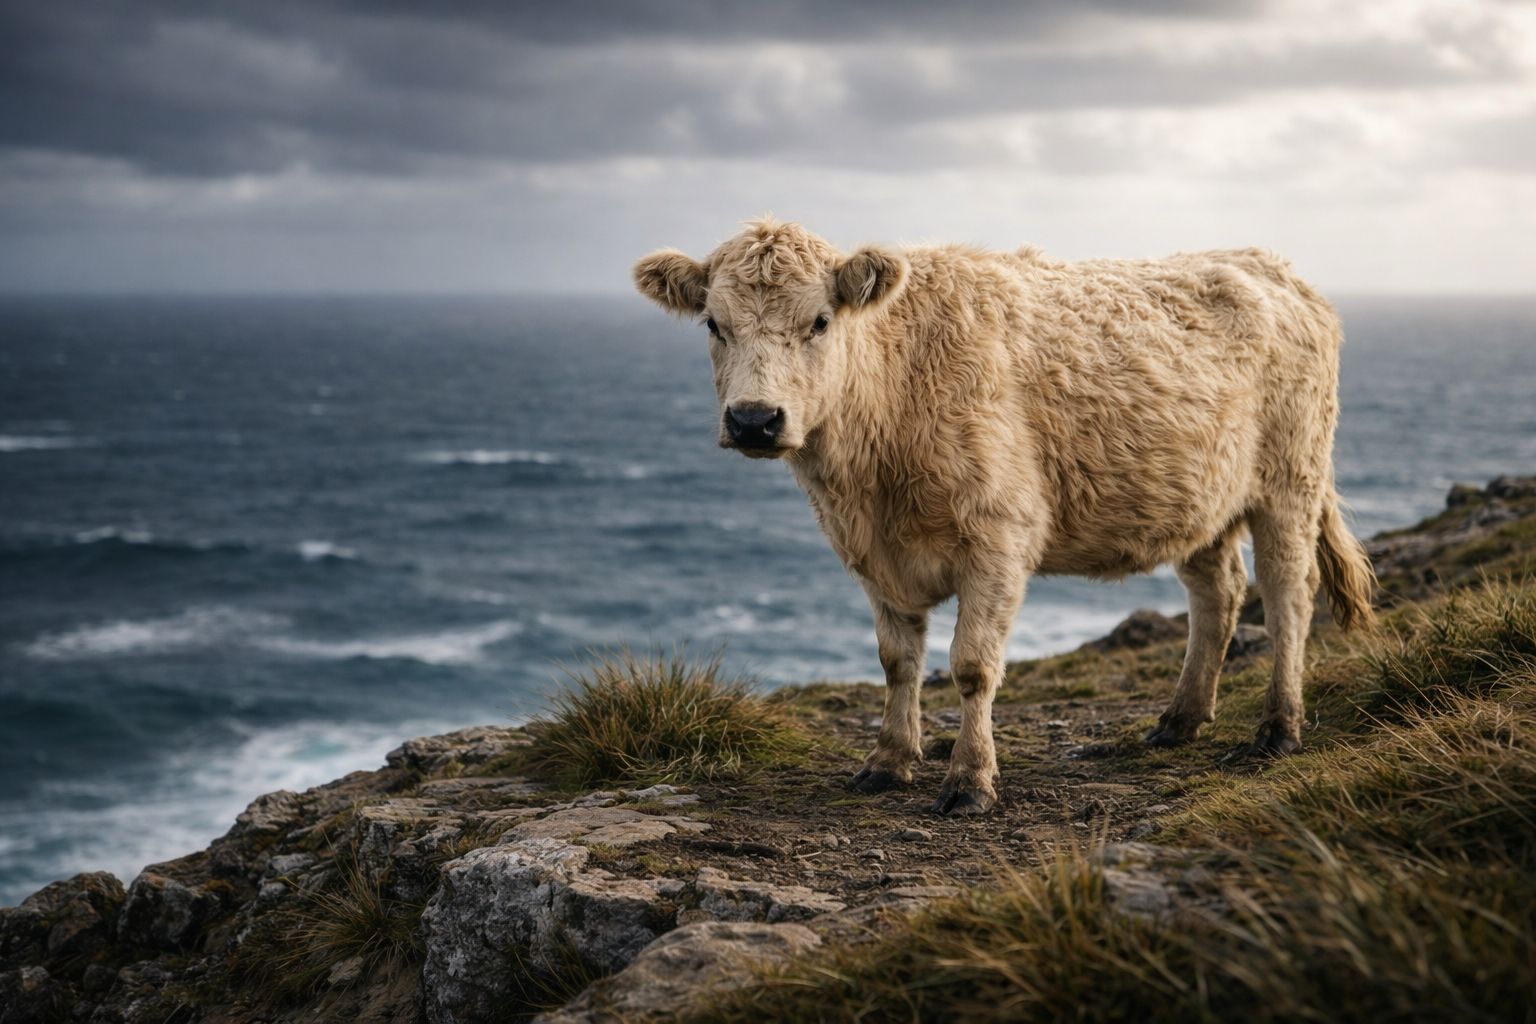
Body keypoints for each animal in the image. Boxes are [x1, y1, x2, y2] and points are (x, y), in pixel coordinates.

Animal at [633, 217, 1376, 816]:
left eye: (818, 321)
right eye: (713, 324)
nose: (754, 420)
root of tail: (1266, 261)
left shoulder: (998, 537)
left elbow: (971, 666)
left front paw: (969, 781)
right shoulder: (870, 553)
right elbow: (896, 660)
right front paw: (888, 762)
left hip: (1290, 480)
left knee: (1287, 596)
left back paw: (1278, 730)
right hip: (1199, 498)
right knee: (1217, 594)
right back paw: (1179, 720)